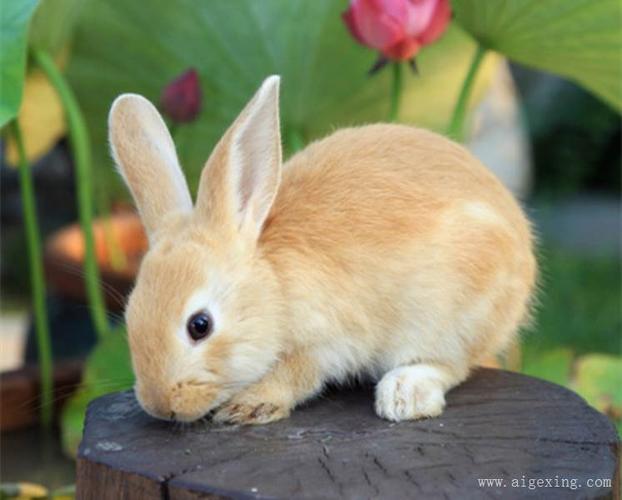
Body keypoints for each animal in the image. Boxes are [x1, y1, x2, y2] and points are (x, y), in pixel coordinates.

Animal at [107, 75, 536, 426]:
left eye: (200, 325)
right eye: (131, 313)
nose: (160, 405)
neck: (273, 286)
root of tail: (524, 255)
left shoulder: (324, 343)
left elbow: (294, 376)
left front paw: (249, 405)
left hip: (450, 317)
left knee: (453, 364)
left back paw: (403, 394)